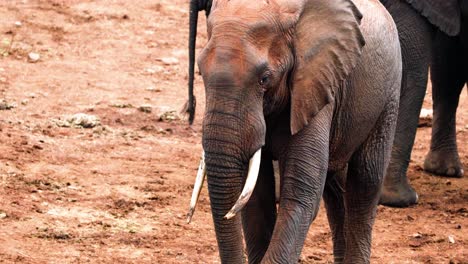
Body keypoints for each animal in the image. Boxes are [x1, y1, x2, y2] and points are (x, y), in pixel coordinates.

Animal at [185, 0, 400, 262]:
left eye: (265, 79)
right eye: (201, 72)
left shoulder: (315, 85)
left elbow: (300, 194)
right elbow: (256, 199)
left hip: (389, 93)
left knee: (365, 182)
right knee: (335, 189)